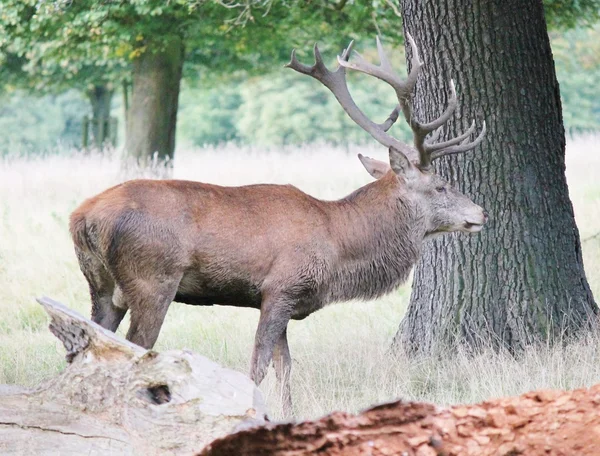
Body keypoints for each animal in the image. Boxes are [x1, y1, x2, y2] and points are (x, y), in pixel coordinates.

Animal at [69, 32, 488, 416]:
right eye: (440, 185)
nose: (481, 213)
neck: (338, 246)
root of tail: (83, 217)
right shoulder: (281, 286)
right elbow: (257, 367)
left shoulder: (283, 298)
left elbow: (285, 368)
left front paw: (289, 417)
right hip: (152, 278)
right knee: (136, 348)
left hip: (100, 285)